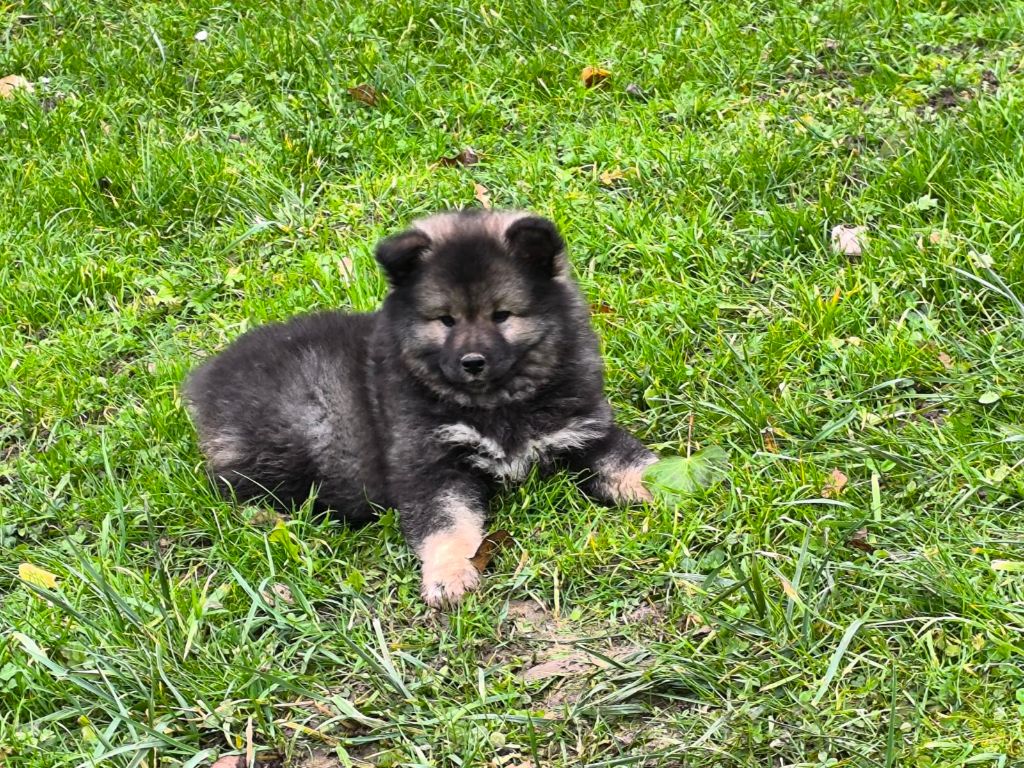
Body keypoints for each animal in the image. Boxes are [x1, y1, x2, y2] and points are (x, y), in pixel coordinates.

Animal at [186, 210, 655, 606]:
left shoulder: (585, 431)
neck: (496, 403)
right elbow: (446, 527)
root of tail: (205, 379)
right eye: (446, 320)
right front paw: (449, 576)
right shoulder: (431, 465)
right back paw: (275, 520)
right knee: (232, 487)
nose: (472, 362)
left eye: (502, 315)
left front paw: (669, 489)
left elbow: (636, 465)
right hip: (293, 435)